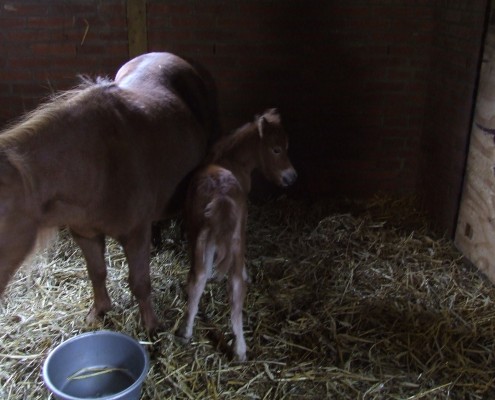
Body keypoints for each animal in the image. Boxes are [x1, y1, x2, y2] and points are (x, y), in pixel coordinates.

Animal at [0, 52, 221, 334]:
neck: (97, 164)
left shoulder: (135, 235)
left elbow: (139, 282)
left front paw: (151, 325)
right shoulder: (85, 234)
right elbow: (97, 273)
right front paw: (98, 312)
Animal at [176, 108, 296, 360]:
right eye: (276, 149)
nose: (292, 178)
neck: (229, 160)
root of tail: (219, 196)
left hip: (199, 240)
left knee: (197, 279)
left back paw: (185, 332)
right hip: (235, 241)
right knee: (236, 286)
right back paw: (240, 349)